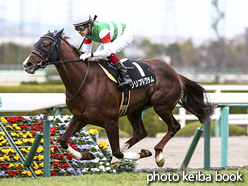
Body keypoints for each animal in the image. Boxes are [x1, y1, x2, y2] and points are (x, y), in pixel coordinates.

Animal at [22, 29, 214, 169]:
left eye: (46, 44)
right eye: (36, 43)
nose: (27, 64)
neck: (85, 81)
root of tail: (174, 72)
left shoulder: (111, 120)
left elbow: (117, 151)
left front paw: (142, 154)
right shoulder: (80, 117)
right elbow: (62, 140)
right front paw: (87, 154)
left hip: (162, 106)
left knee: (174, 126)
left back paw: (158, 154)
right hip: (134, 109)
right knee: (140, 132)